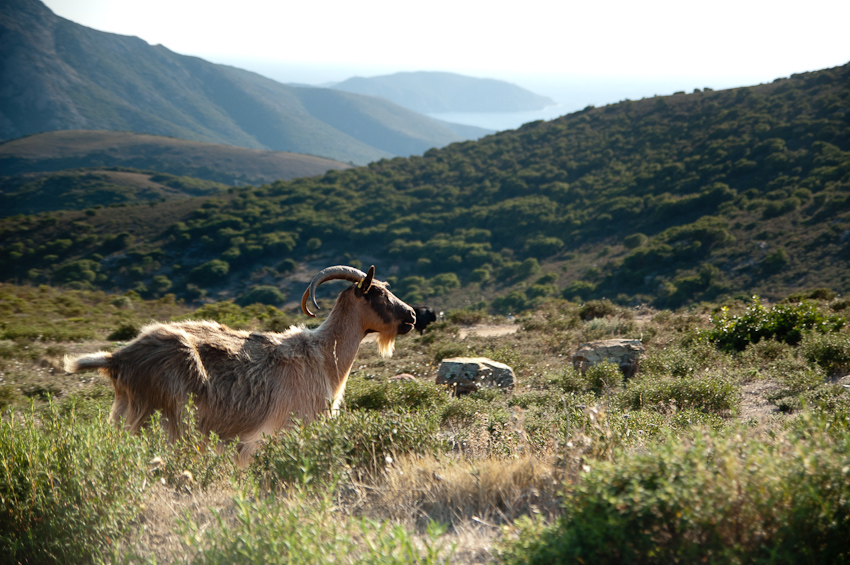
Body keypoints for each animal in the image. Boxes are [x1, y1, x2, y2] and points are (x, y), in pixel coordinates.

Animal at [64, 265, 416, 463]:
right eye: (378, 293)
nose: (412, 316)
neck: (324, 356)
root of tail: (118, 358)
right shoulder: (286, 429)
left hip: (126, 415)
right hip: (163, 420)